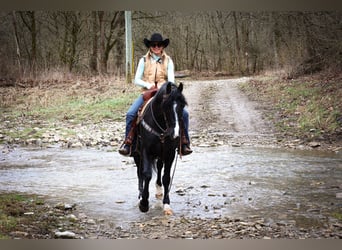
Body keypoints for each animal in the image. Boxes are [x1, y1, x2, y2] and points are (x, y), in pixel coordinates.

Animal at [134, 82, 187, 215]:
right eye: (165, 106)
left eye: (182, 105)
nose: (175, 134)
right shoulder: (146, 151)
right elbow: (146, 174)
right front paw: (144, 203)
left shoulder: (169, 153)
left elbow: (166, 177)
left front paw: (166, 204)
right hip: (137, 154)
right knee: (139, 172)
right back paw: (140, 195)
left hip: (160, 154)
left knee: (159, 167)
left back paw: (159, 190)